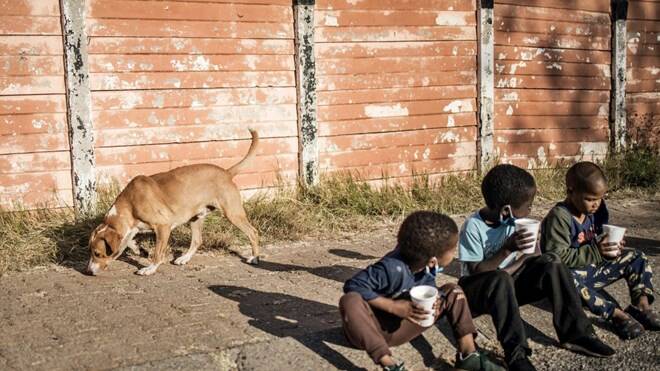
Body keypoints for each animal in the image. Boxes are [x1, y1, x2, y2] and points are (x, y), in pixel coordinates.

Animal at [87, 129, 260, 274]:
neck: (130, 204)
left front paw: (150, 268)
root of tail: (226, 172)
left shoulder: (163, 226)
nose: (88, 271)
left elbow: (158, 253)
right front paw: (139, 249)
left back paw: (254, 258)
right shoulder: (132, 228)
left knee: (253, 232)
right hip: (195, 217)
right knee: (197, 240)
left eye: (97, 253)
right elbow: (128, 241)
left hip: (232, 213)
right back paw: (184, 258)